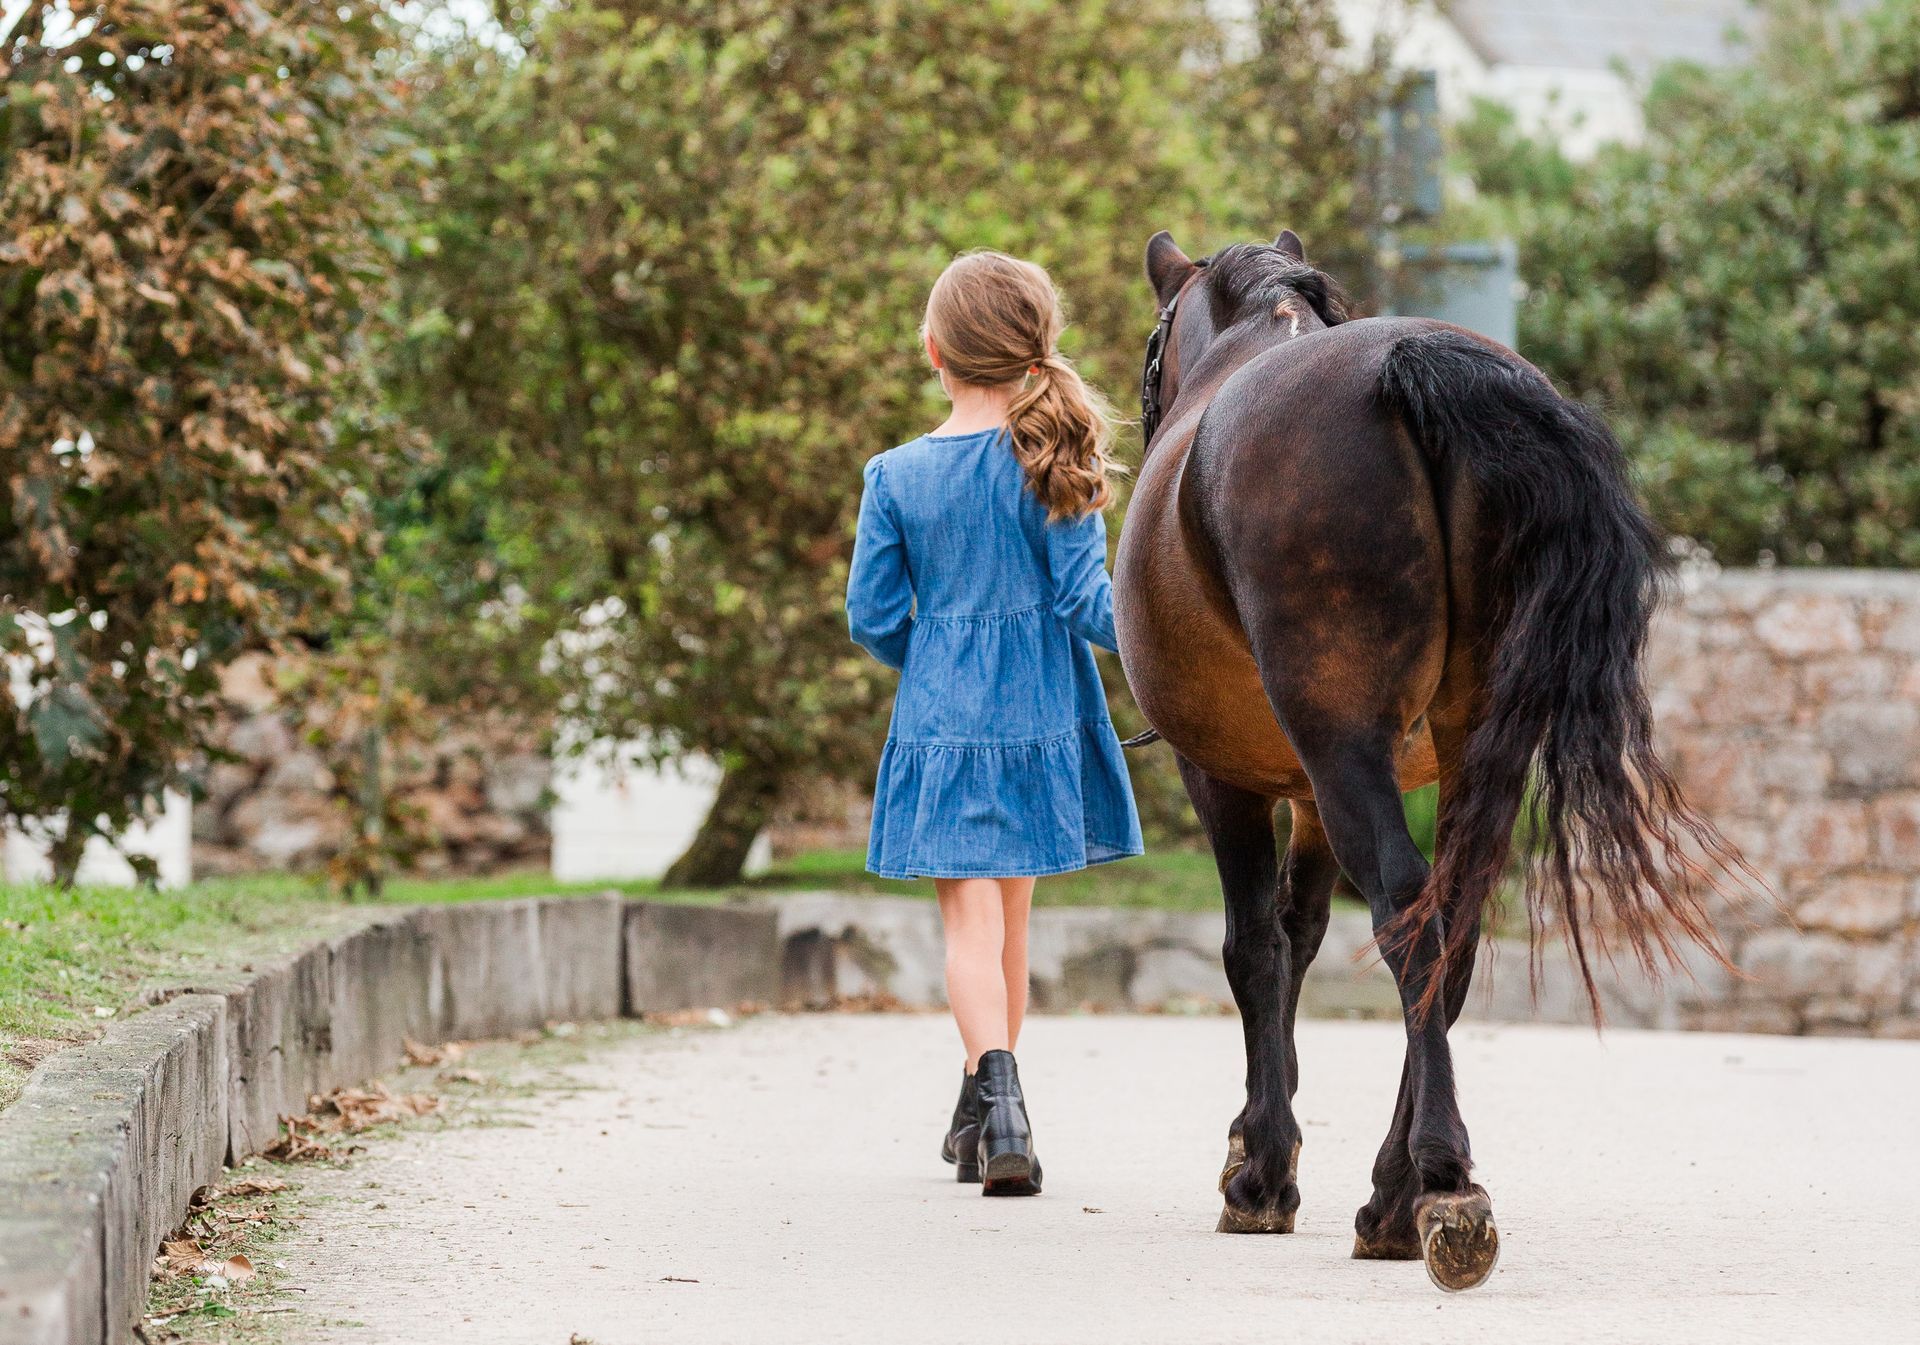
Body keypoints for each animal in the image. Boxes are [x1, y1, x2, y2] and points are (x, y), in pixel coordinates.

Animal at [1112, 229, 1749, 1292]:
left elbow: (1254, 947)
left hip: (1346, 748)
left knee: (1408, 920)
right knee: (1448, 932)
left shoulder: (1231, 776)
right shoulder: (1311, 796)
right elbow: (1300, 935)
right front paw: (1268, 1140)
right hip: (1471, 749)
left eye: (1151, 352)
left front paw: (1262, 1169)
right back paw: (1395, 1196)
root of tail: (1417, 367)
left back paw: (1438, 1185)